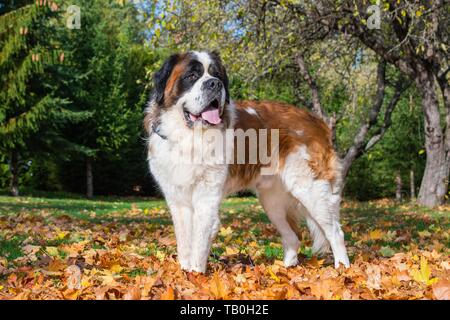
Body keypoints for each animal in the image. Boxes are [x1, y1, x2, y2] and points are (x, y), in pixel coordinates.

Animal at [143, 50, 348, 272]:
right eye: (191, 75)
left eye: (217, 75)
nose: (214, 84)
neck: (189, 136)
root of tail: (318, 122)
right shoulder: (177, 200)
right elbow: (184, 243)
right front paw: (183, 272)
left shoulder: (206, 198)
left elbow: (199, 242)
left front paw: (195, 275)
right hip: (272, 200)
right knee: (293, 237)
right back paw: (283, 270)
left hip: (311, 190)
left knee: (335, 232)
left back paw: (343, 269)